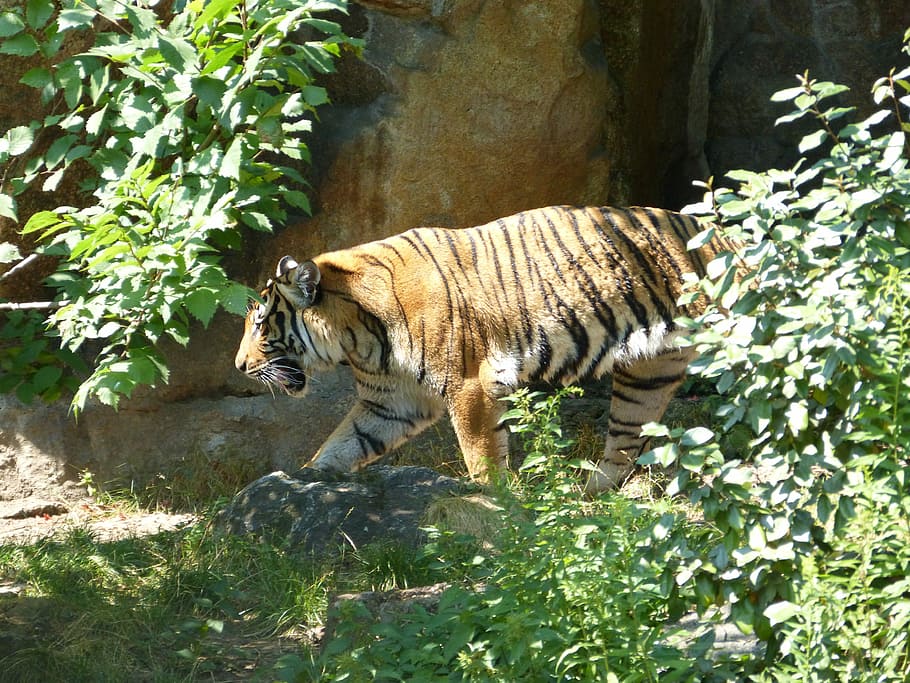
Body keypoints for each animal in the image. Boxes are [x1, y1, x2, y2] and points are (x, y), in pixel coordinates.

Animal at [234, 205, 736, 491]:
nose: (239, 365)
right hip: (649, 371)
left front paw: (494, 505)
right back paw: (589, 491)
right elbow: (343, 443)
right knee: (628, 436)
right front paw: (304, 480)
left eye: (260, 324)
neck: (356, 335)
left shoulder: (470, 385)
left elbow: (480, 454)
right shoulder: (391, 401)